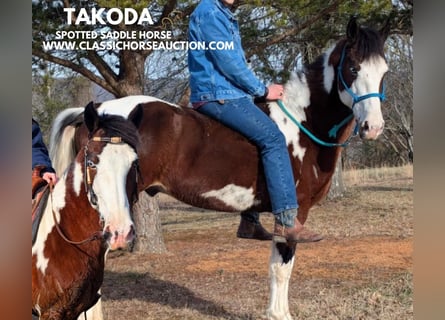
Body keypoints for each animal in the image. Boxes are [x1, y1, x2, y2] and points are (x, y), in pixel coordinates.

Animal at [49, 17, 388, 320]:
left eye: (384, 72)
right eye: (353, 68)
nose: (373, 128)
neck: (301, 122)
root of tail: (94, 113)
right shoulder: (295, 213)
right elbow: (282, 268)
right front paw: (280, 315)